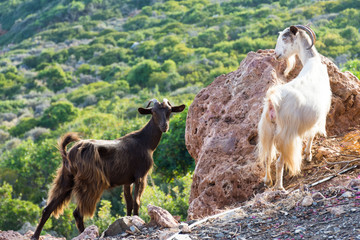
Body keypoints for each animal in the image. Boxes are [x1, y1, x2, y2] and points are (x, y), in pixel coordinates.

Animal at [31, 98, 186, 239]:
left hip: (67, 179)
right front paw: (137, 219)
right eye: (153, 112)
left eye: (169, 111)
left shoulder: (127, 180)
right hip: (91, 183)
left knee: (48, 209)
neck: (145, 142)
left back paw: (35, 236)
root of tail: (69, 153)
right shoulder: (141, 176)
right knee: (77, 213)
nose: (164, 127)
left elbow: (128, 203)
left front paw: (129, 220)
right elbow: (137, 202)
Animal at [256, 25, 332, 190]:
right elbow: (311, 136)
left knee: (267, 157)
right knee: (279, 162)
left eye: (285, 38)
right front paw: (308, 155)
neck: (312, 62)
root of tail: (272, 103)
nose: (276, 54)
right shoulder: (318, 117)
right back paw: (279, 187)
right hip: (286, 134)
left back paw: (267, 181)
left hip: (267, 131)